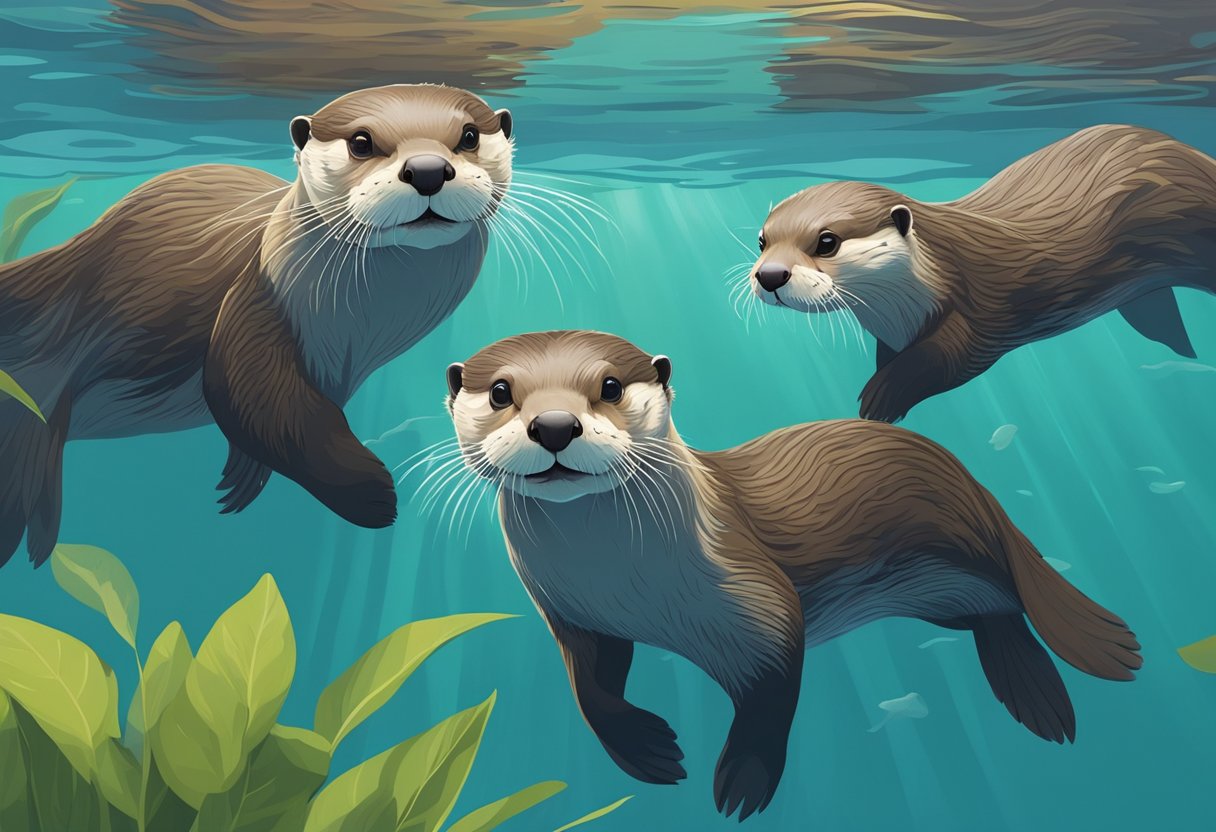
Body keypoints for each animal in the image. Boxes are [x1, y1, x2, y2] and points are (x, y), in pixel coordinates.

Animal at [0, 83, 513, 567]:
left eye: (469, 135)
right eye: (361, 142)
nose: (427, 169)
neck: (361, 325)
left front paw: (241, 481)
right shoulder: (257, 303)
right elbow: (252, 400)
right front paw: (371, 494)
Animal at [444, 330, 1142, 821]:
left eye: (610, 385)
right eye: (501, 391)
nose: (554, 426)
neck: (625, 584)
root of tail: (976, 486)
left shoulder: (756, 601)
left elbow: (774, 689)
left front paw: (743, 779)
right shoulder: (574, 617)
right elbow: (591, 692)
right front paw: (649, 749)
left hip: (963, 547)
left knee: (1013, 598)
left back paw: (1040, 698)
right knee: (995, 614)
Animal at [747, 124, 1216, 422]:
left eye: (827, 241)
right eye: (763, 240)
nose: (770, 276)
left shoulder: (978, 313)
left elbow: (947, 359)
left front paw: (882, 397)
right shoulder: (893, 334)